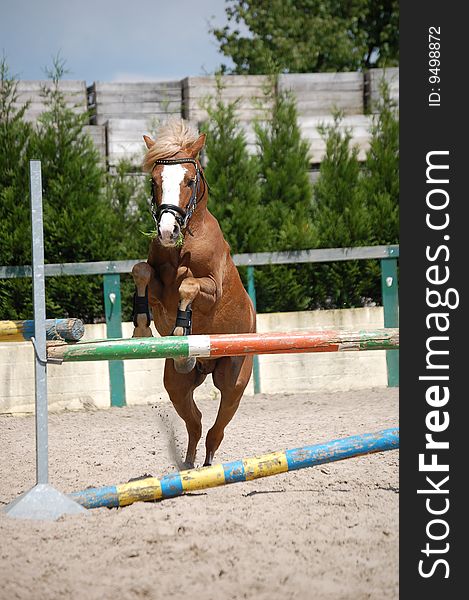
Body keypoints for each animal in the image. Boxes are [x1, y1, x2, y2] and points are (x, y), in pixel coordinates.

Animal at [131, 118, 256, 468]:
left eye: (189, 180)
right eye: (155, 180)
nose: (166, 230)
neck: (184, 243)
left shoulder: (210, 288)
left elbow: (189, 285)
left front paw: (181, 328)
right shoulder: (158, 284)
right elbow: (141, 271)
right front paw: (142, 327)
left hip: (234, 379)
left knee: (217, 428)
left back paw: (209, 465)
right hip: (176, 383)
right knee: (196, 422)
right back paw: (187, 464)